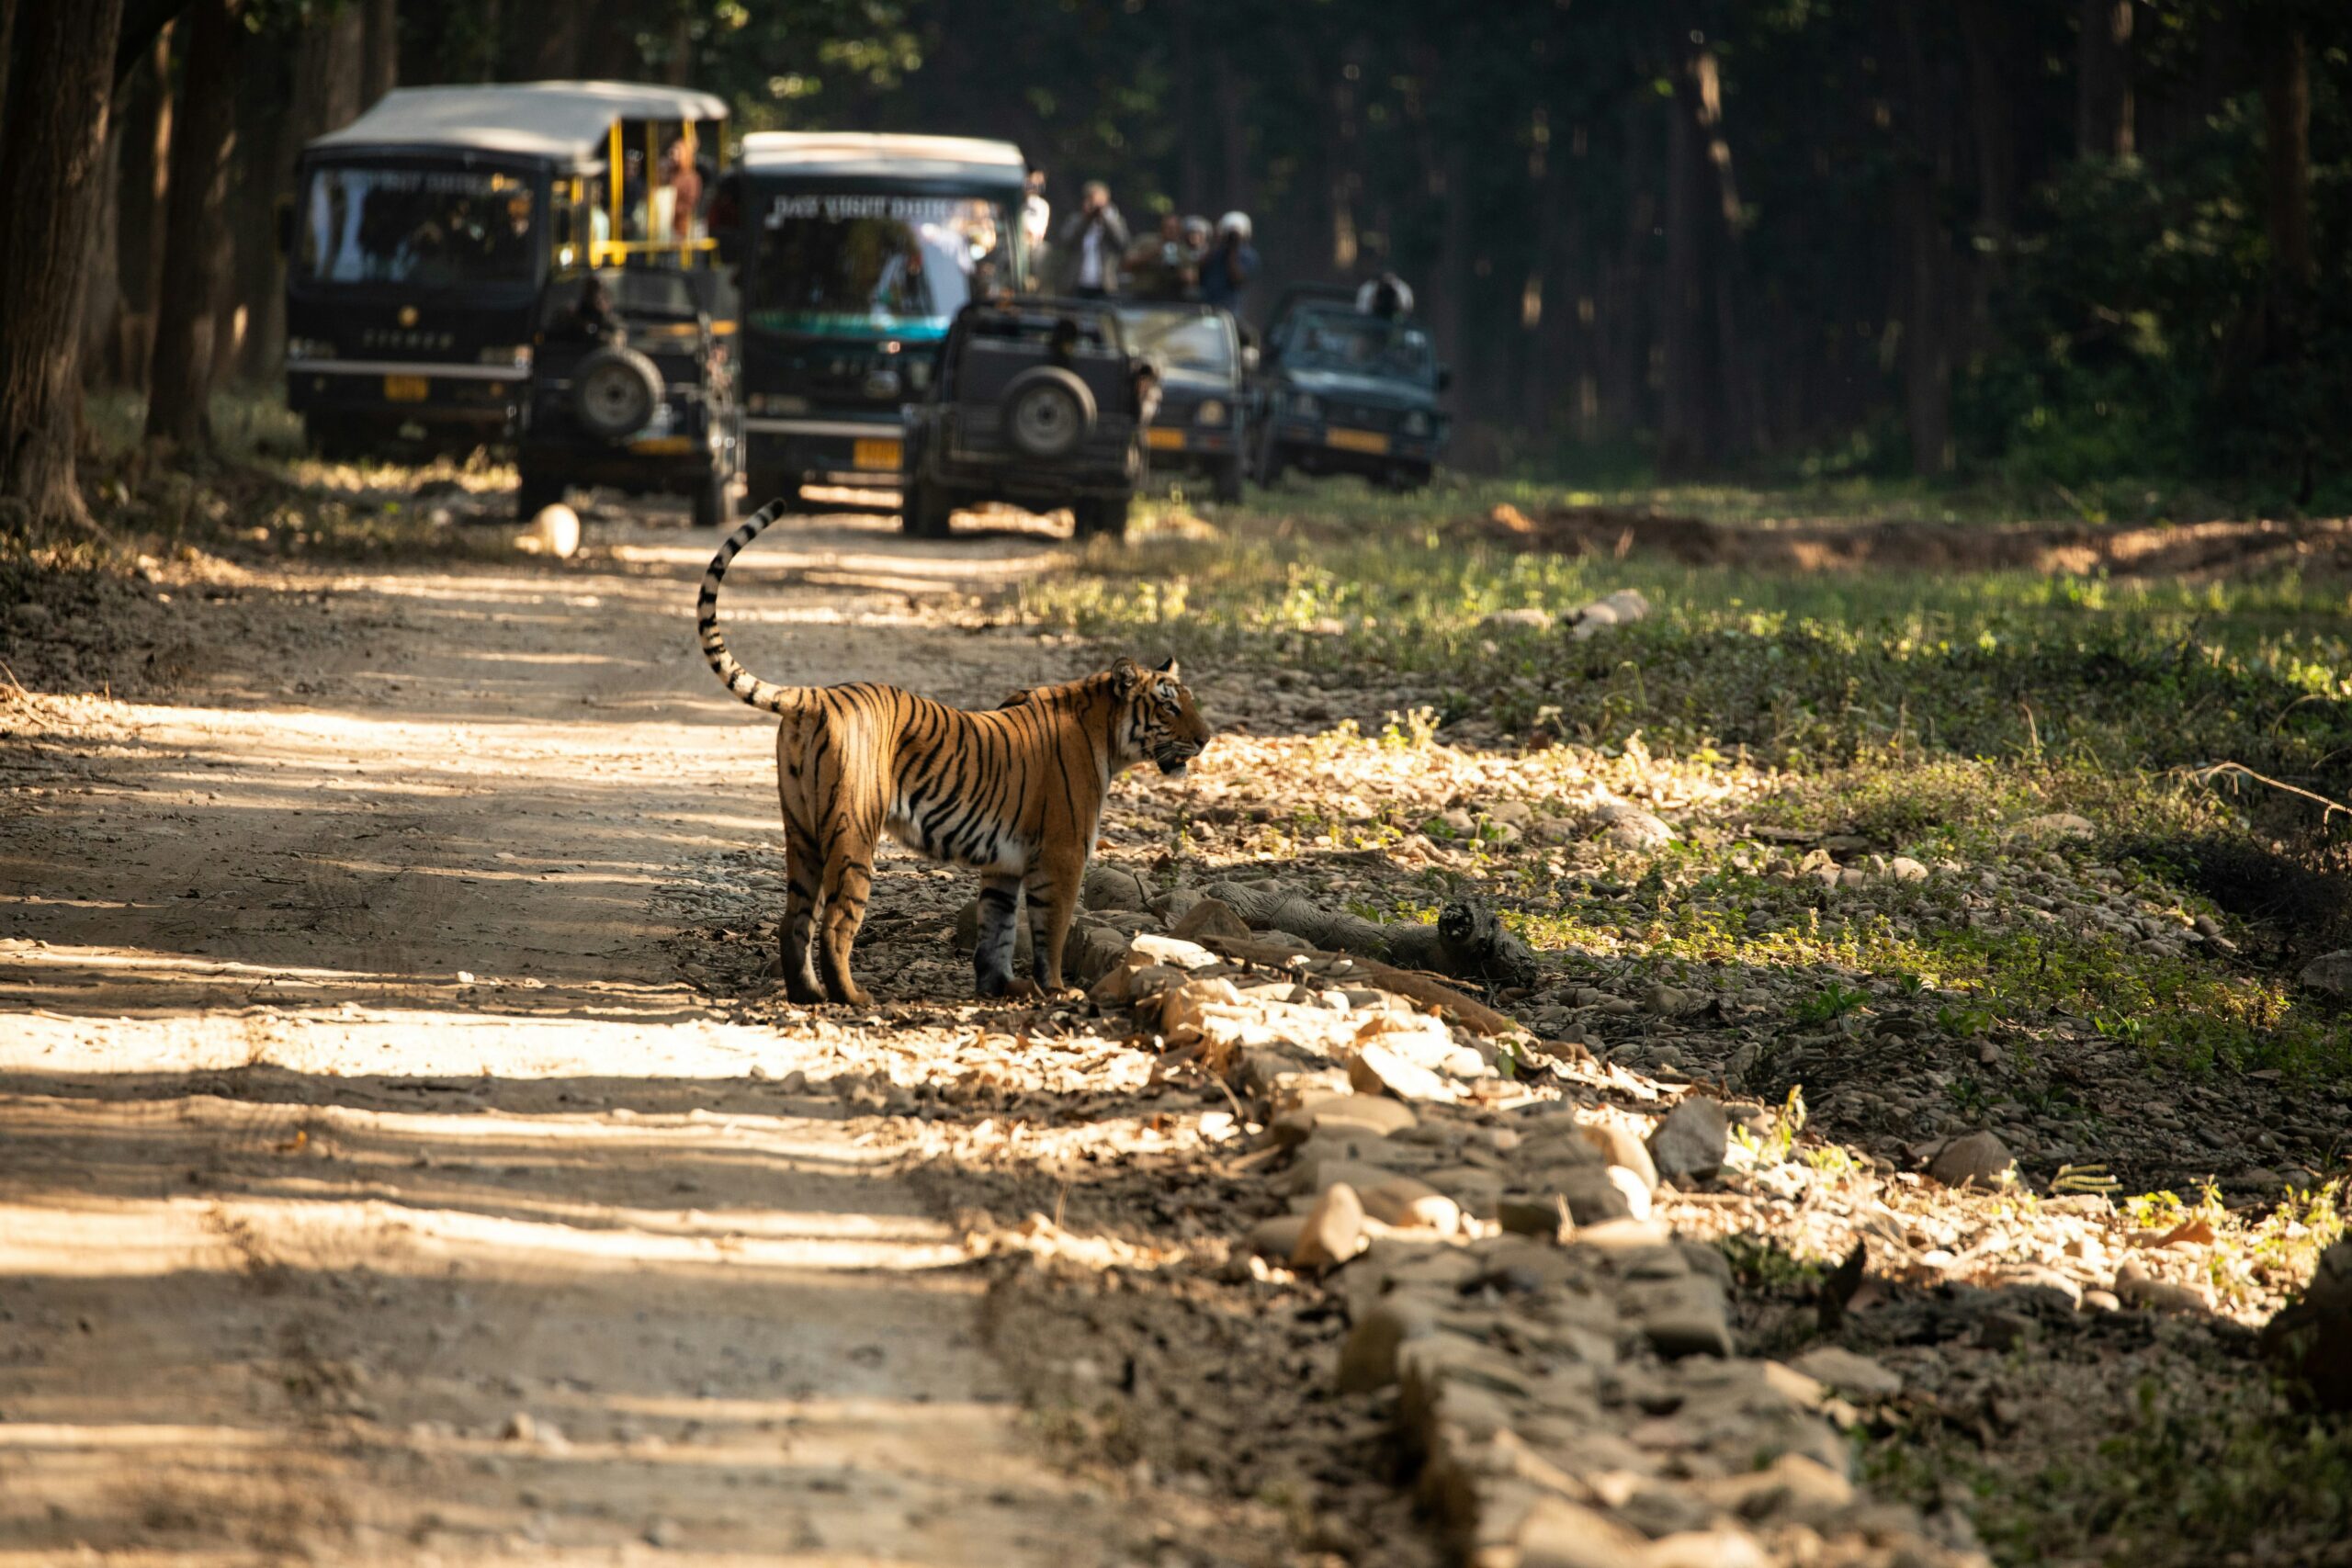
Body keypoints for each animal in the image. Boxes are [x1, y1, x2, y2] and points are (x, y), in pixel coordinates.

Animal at [691, 502, 1213, 1006]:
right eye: (1170, 705)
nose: (1207, 738)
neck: (1105, 731)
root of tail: (815, 696)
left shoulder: (1005, 865)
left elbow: (997, 931)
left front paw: (1001, 987)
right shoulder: (1062, 856)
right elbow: (1053, 931)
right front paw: (1057, 990)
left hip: (801, 832)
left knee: (794, 921)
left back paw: (808, 995)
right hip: (853, 830)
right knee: (837, 923)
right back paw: (853, 997)